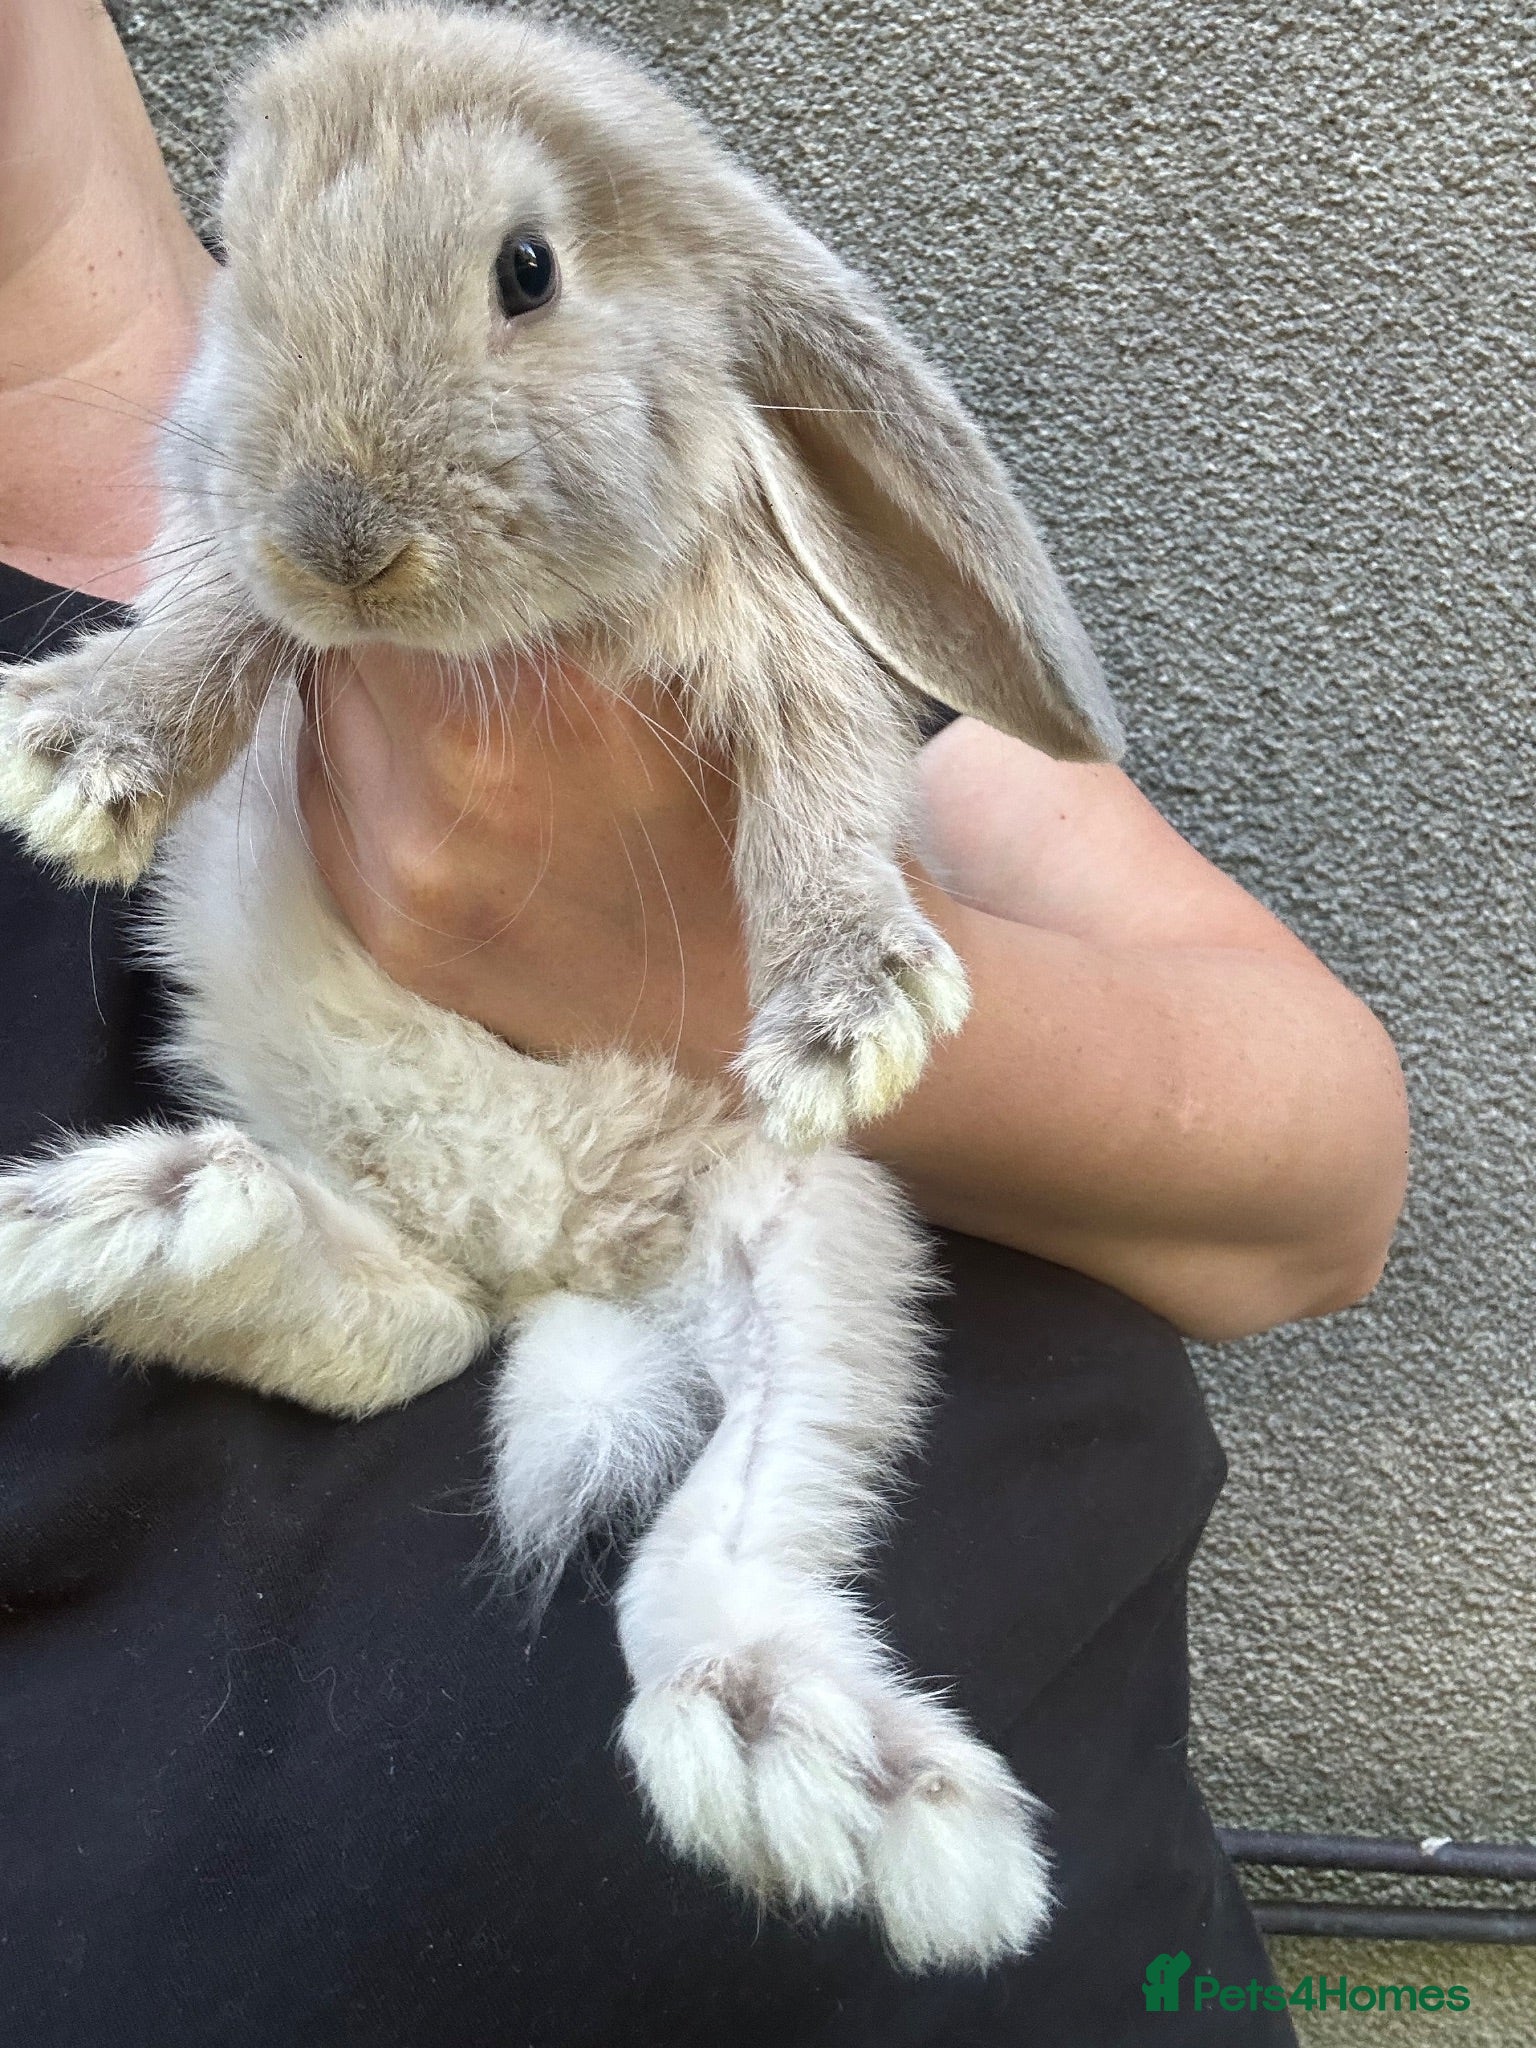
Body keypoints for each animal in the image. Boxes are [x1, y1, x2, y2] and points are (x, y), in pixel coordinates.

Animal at [0, 2, 1123, 1971]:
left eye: (526, 269)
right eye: (246, 260)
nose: (340, 538)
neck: (507, 641)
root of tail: (552, 1262)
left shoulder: (789, 664)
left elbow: (823, 806)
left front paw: (852, 1008)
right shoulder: (225, 564)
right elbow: (212, 633)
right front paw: (84, 759)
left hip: (809, 1263)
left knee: (733, 1532)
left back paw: (811, 1767)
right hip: (401, 1217)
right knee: (398, 1331)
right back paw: (132, 1227)